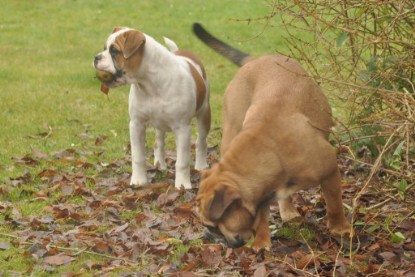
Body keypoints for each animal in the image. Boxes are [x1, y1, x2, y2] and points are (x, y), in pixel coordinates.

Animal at [194, 23, 352, 248]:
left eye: (213, 227)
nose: (207, 235)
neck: (272, 150)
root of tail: (254, 60)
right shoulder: (260, 192)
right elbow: (261, 217)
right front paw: (261, 243)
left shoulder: (329, 170)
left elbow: (334, 202)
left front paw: (340, 228)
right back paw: (287, 211)